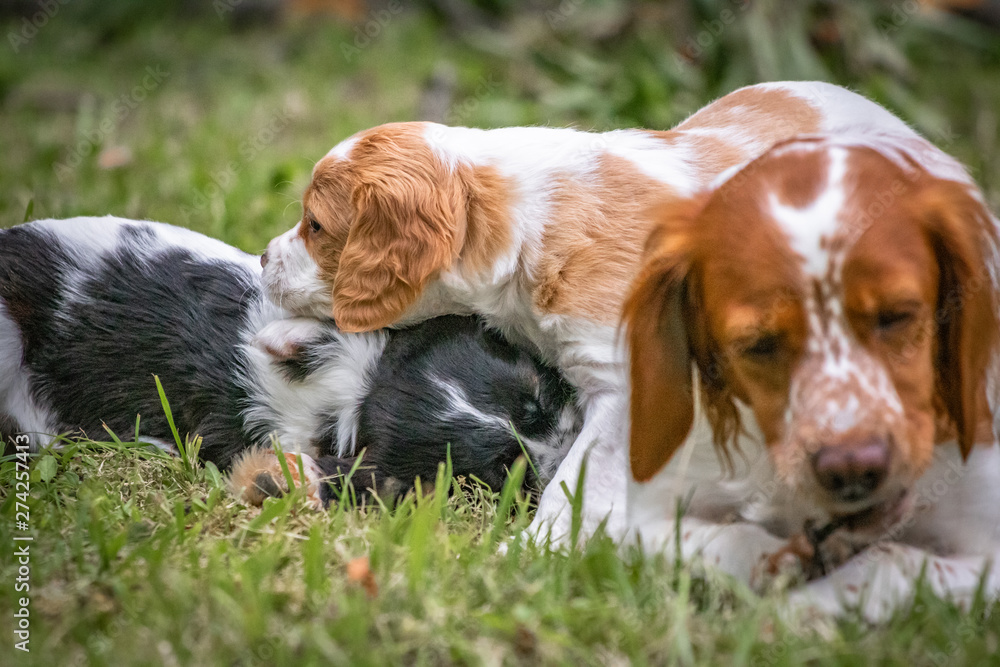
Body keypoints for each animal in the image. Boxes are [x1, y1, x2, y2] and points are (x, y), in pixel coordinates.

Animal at [264, 81, 928, 544]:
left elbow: (577, 479)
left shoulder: (627, 389)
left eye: (315, 226)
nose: (266, 256)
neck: (525, 216)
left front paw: (532, 553)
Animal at [624, 134, 1000, 620]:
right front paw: (778, 564)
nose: (852, 467)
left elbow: (887, 560)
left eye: (896, 316)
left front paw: (798, 610)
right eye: (760, 344)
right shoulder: (642, 521)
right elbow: (728, 539)